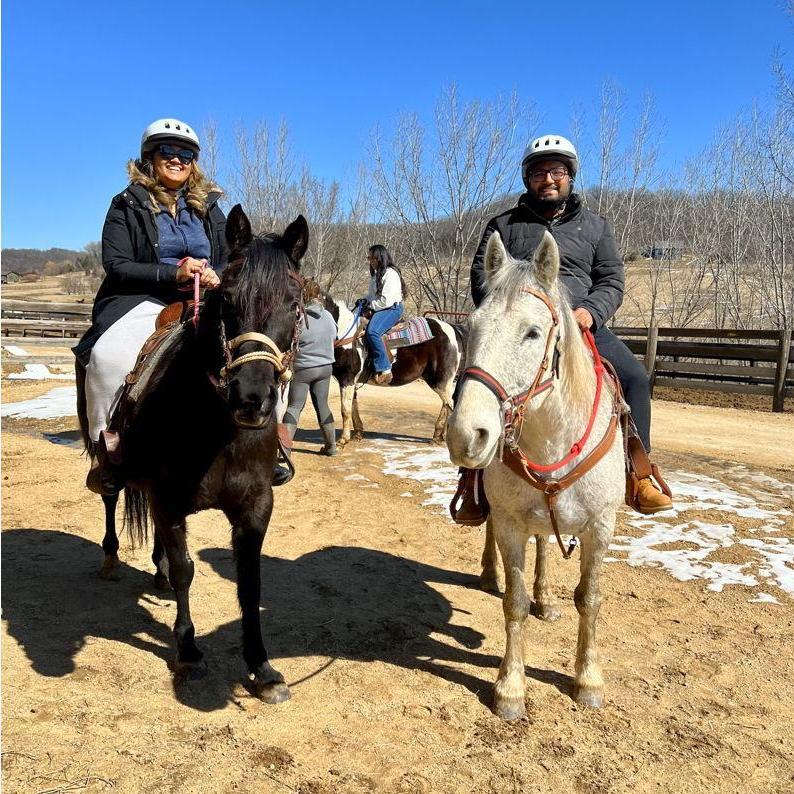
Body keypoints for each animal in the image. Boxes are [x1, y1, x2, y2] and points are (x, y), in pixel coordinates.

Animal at [75, 205, 308, 702]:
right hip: (109, 458)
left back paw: (157, 573)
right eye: (228, 301)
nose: (251, 398)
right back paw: (111, 559)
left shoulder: (255, 505)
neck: (217, 430)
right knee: (111, 497)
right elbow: (186, 570)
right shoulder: (168, 500)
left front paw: (262, 667)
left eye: (295, 306)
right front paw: (188, 650)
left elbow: (250, 582)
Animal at [323, 296, 466, 446]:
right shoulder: (352, 381)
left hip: (440, 381)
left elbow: (345, 409)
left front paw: (343, 439)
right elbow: (353, 406)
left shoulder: (347, 378)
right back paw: (438, 437)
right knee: (447, 404)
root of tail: (452, 329)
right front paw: (358, 434)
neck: (345, 333)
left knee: (450, 404)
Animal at [446, 229, 625, 719]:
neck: (552, 441)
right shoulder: (510, 523)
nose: (467, 434)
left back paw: (546, 598)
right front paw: (510, 688)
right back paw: (490, 575)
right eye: (471, 328)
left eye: (532, 331)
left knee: (546, 545)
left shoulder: (601, 526)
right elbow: (514, 603)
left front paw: (588, 680)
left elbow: (590, 599)